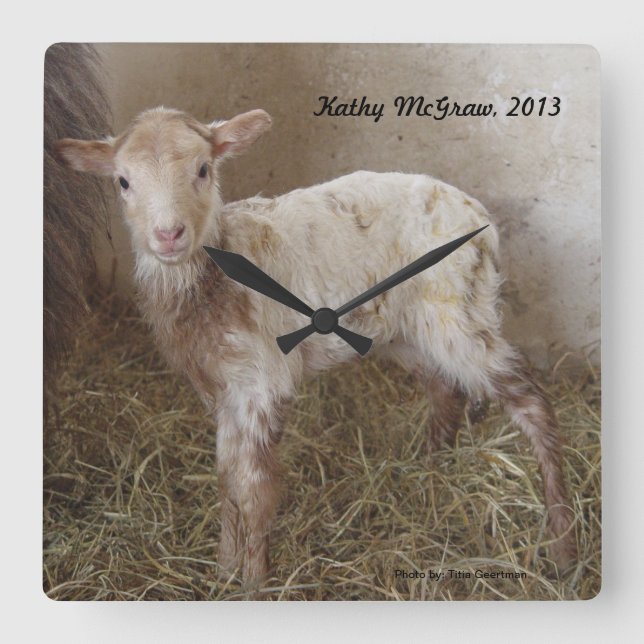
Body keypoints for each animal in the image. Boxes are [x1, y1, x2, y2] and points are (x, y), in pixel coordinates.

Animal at [56, 106, 577, 585]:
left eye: (202, 169)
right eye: (123, 181)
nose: (168, 234)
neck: (211, 280)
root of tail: (480, 217)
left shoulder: (261, 382)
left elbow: (254, 489)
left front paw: (255, 582)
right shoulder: (223, 388)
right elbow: (226, 480)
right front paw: (224, 570)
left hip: (459, 311)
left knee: (532, 404)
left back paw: (562, 541)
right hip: (406, 329)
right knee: (446, 389)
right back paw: (432, 471)